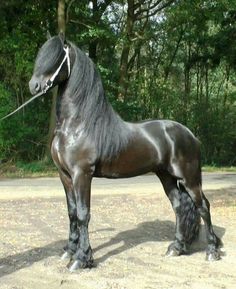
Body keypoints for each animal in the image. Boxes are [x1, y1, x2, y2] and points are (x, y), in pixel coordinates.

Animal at [29, 33, 221, 270]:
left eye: (56, 58)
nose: (34, 85)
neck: (76, 125)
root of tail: (190, 135)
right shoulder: (64, 175)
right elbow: (72, 213)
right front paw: (69, 251)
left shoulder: (82, 174)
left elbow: (83, 214)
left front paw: (82, 259)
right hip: (166, 176)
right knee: (179, 206)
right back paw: (176, 248)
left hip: (189, 178)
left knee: (203, 206)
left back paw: (212, 251)